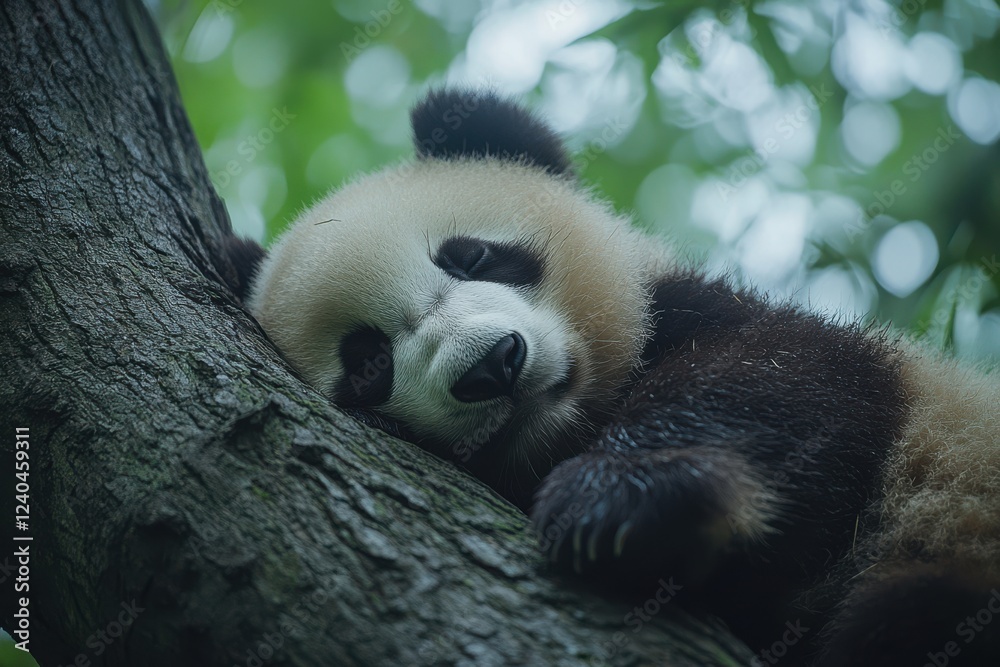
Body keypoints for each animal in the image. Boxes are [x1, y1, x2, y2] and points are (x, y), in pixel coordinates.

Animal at [226, 88, 1000, 666]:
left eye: (473, 256)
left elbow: (783, 384)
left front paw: (623, 501)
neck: (573, 425)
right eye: (369, 363)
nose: (492, 364)